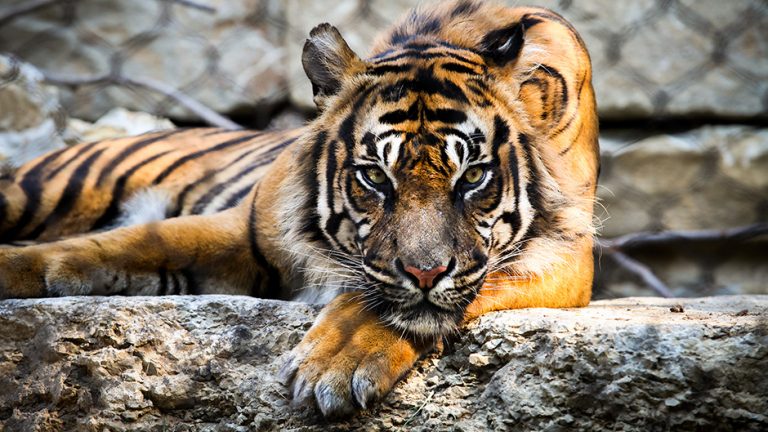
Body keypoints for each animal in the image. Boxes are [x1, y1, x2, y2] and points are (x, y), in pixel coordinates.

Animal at [0, 0, 598, 417]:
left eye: (472, 177)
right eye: (374, 176)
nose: (425, 272)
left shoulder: (566, 253)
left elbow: (400, 299)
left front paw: (334, 366)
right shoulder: (244, 230)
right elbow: (121, 243)